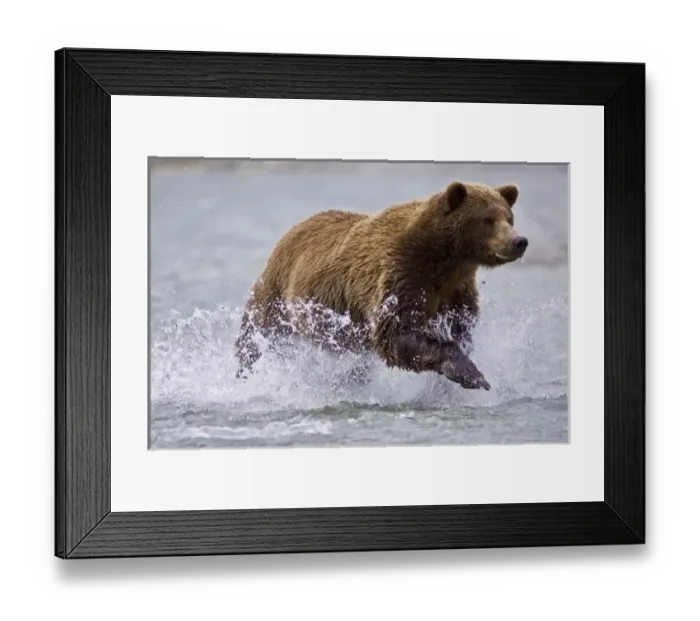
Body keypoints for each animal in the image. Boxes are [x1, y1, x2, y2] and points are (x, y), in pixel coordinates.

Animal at [234, 181, 528, 390]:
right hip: (277, 293)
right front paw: (471, 374)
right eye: (487, 219)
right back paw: (244, 372)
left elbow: (459, 326)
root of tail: (294, 228)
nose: (519, 241)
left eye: (509, 217)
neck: (445, 260)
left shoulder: (455, 290)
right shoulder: (402, 275)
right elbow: (397, 334)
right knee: (256, 334)